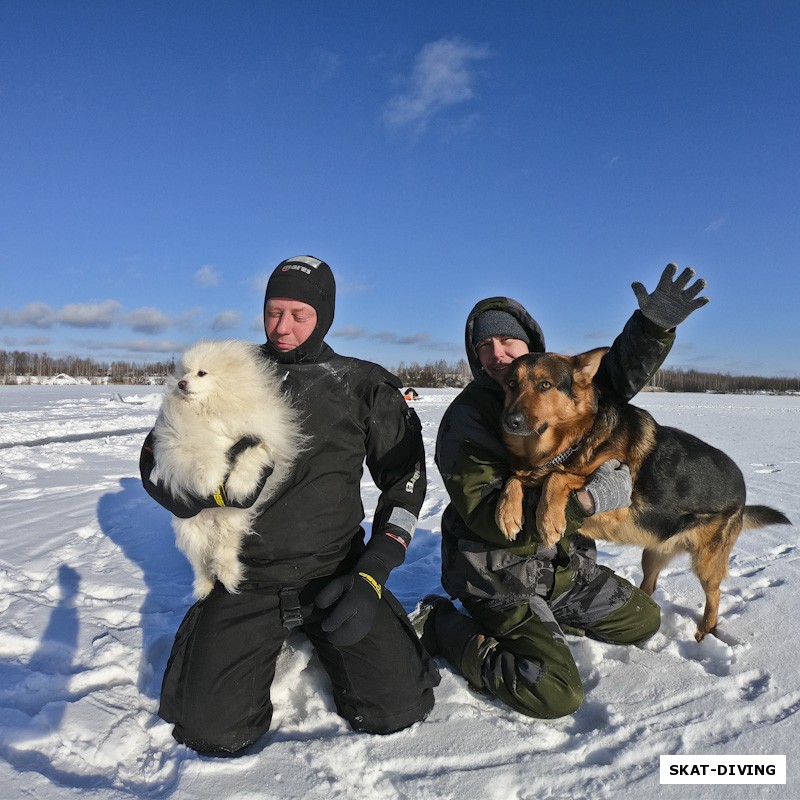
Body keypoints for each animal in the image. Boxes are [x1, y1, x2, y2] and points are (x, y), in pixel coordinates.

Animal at [152, 340, 304, 596]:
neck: (212, 409)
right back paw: (204, 587)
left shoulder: (260, 439)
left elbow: (251, 456)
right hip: (190, 530)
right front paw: (210, 480)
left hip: (231, 522)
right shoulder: (179, 438)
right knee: (201, 563)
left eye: (201, 373)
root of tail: (213, 518)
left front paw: (238, 485)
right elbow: (202, 454)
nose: (181, 383)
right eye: (184, 373)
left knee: (224, 551)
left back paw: (229, 576)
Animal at [496, 346, 792, 640]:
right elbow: (516, 479)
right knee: (650, 586)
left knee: (715, 595)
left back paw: (704, 631)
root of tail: (742, 486)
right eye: (511, 384)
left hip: (707, 564)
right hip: (652, 554)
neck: (575, 440)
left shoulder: (612, 503)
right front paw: (507, 514)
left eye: (545, 385)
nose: (510, 421)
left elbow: (556, 477)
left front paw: (549, 520)